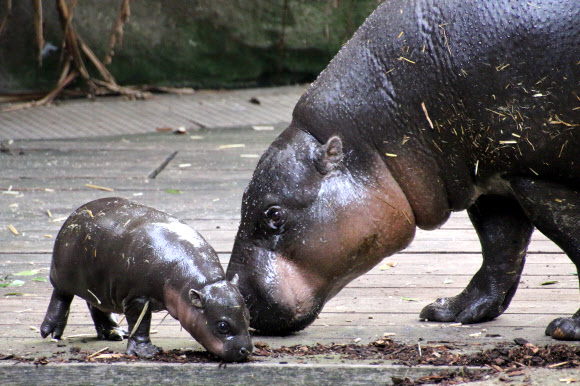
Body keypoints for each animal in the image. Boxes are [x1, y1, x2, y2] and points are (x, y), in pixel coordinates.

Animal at [38, 198, 251, 364]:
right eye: (223, 326)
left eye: (248, 316)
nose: (247, 350)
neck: (200, 282)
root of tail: (75, 213)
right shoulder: (137, 298)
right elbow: (140, 324)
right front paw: (147, 353)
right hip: (63, 274)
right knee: (61, 296)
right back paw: (51, 332)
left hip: (98, 285)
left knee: (96, 306)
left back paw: (115, 333)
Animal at [228, 0, 580, 338]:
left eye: (274, 214)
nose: (236, 297)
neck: (368, 138)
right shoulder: (491, 175)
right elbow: (500, 246)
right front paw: (450, 311)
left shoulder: (535, 177)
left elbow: (569, 238)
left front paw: (567, 328)